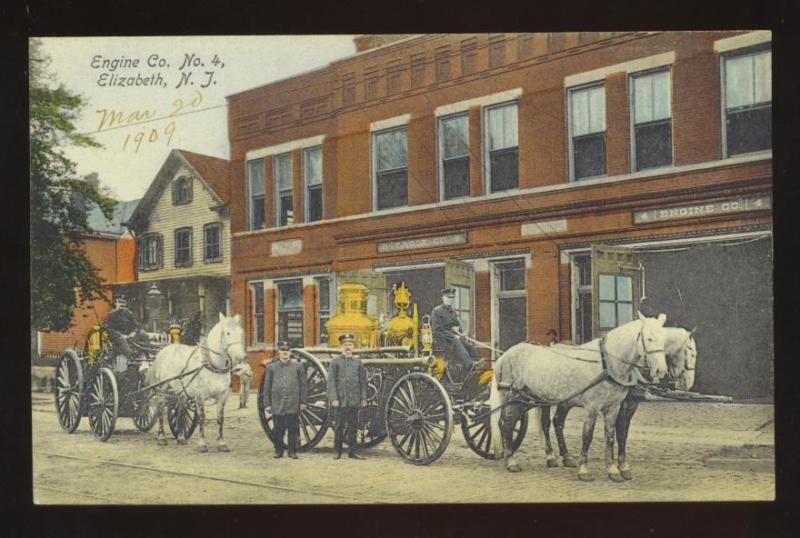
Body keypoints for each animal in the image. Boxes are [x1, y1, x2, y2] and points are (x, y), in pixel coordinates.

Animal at [147, 312, 247, 450]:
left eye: (241, 332)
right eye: (228, 333)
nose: (241, 357)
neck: (212, 365)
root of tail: (163, 350)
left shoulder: (222, 395)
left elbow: (220, 418)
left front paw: (221, 443)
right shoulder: (200, 396)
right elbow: (202, 418)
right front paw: (202, 444)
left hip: (181, 390)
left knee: (181, 410)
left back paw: (181, 437)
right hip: (163, 388)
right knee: (160, 409)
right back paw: (161, 437)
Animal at [488, 312, 668, 480]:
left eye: (664, 340)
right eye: (649, 338)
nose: (661, 371)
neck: (606, 363)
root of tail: (505, 355)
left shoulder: (613, 408)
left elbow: (611, 436)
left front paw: (613, 470)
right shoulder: (592, 408)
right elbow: (587, 436)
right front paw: (584, 470)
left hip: (536, 399)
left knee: (545, 423)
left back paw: (552, 458)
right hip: (513, 397)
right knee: (506, 423)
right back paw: (511, 461)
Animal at [536, 324, 700, 480]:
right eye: (691, 352)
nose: (688, 384)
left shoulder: (629, 404)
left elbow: (621, 433)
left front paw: (620, 465)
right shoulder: (622, 404)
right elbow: (618, 432)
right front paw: (616, 465)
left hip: (566, 402)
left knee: (558, 422)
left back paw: (567, 457)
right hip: (546, 400)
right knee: (546, 423)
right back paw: (550, 457)